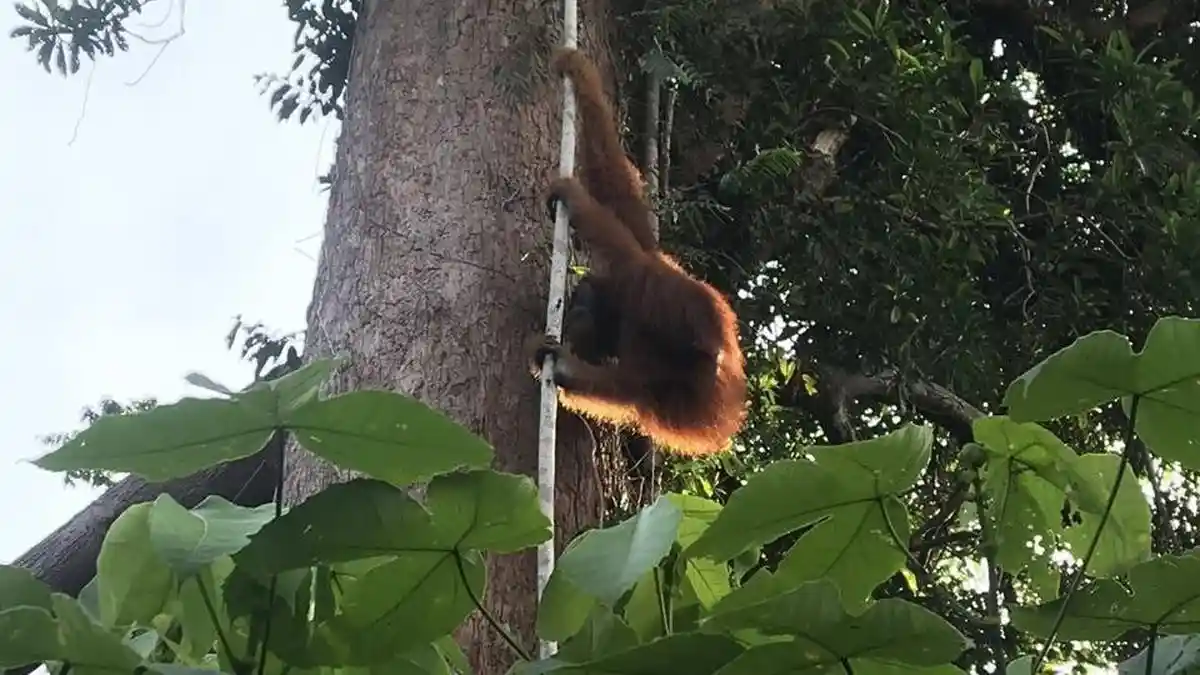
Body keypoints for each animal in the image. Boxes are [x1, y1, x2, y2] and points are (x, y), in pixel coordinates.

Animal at [527, 47, 748, 457]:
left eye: (580, 305)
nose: (576, 313)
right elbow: (619, 192)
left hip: (686, 313)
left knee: (637, 263)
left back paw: (577, 203)